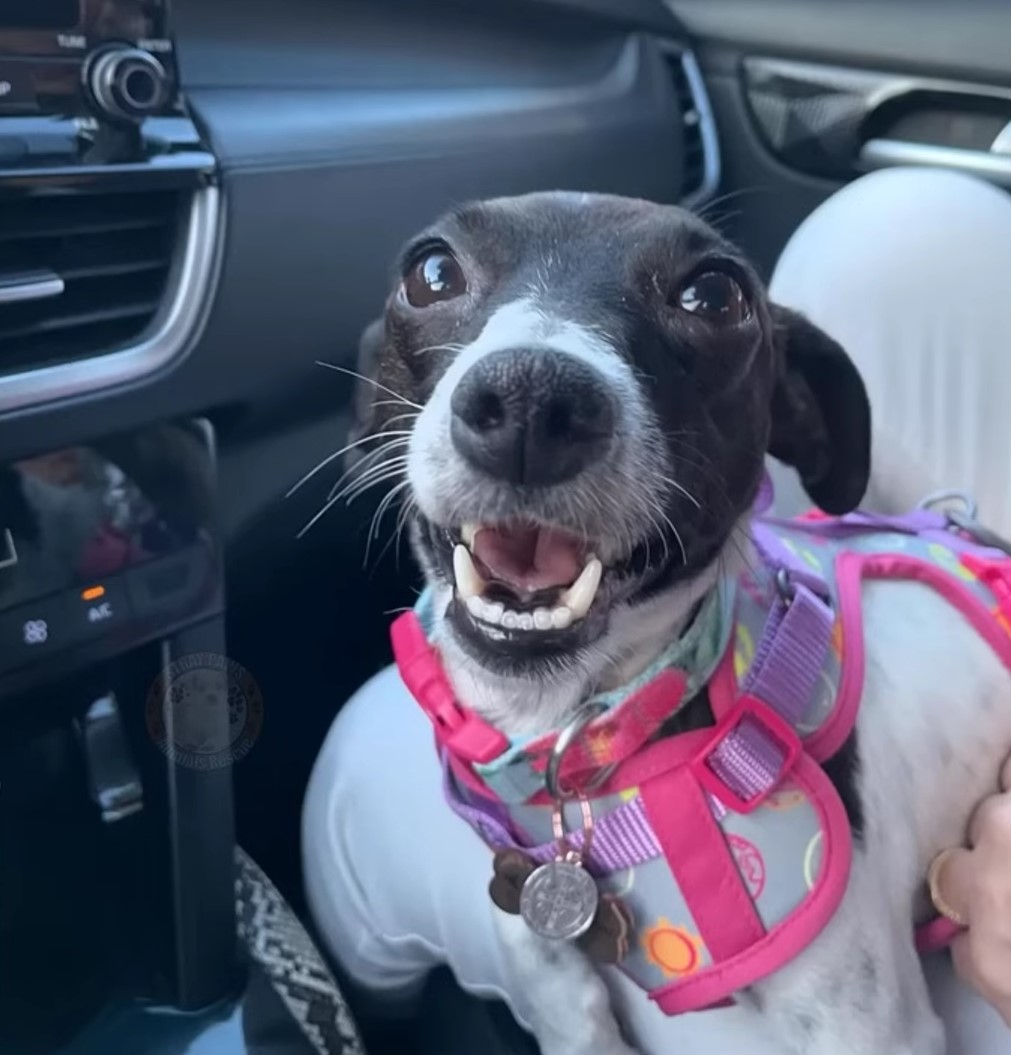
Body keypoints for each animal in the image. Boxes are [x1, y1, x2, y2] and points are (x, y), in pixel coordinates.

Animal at [341, 192, 1011, 1055]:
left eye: (714, 295)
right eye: (431, 273)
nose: (530, 398)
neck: (581, 749)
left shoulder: (868, 1026)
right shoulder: (538, 949)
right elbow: (559, 991)